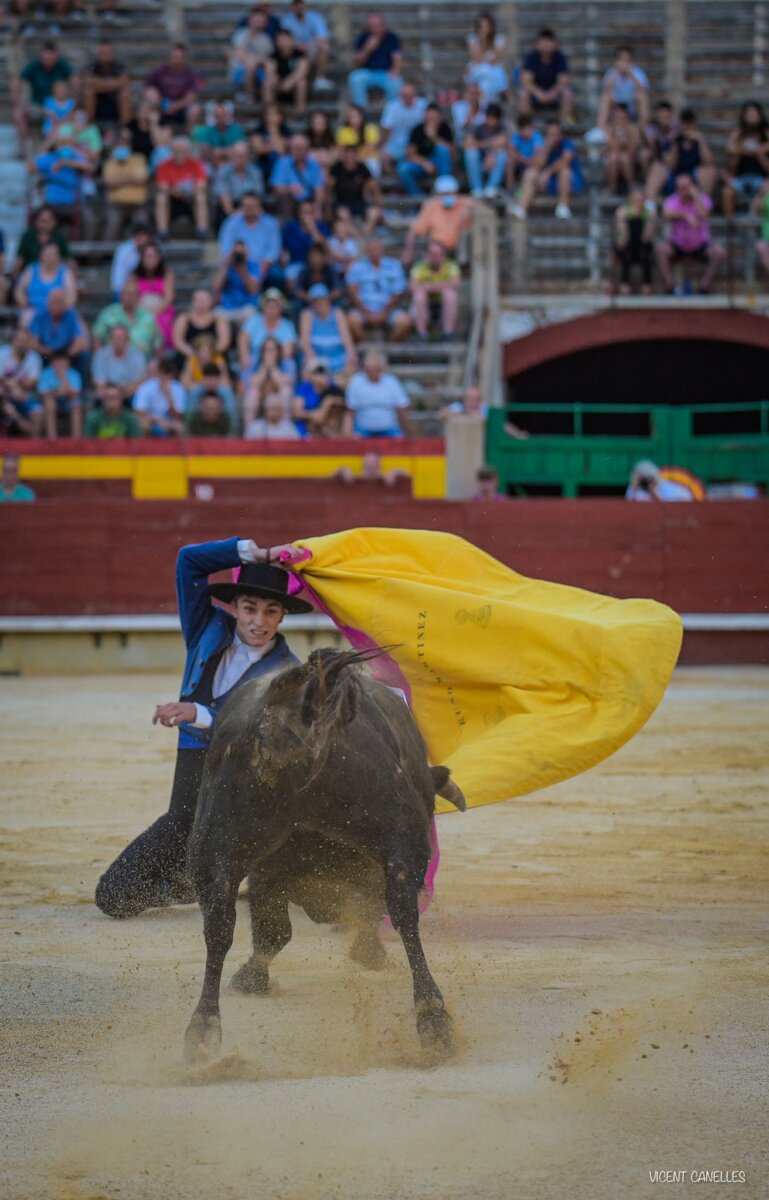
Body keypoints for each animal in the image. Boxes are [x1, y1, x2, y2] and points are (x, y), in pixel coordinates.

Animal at [183, 646, 466, 1064]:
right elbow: (283, 930)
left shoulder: (264, 874)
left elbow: (272, 931)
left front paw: (250, 978)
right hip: (398, 829)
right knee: (404, 914)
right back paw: (433, 1019)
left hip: (214, 843)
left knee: (218, 923)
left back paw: (202, 1030)